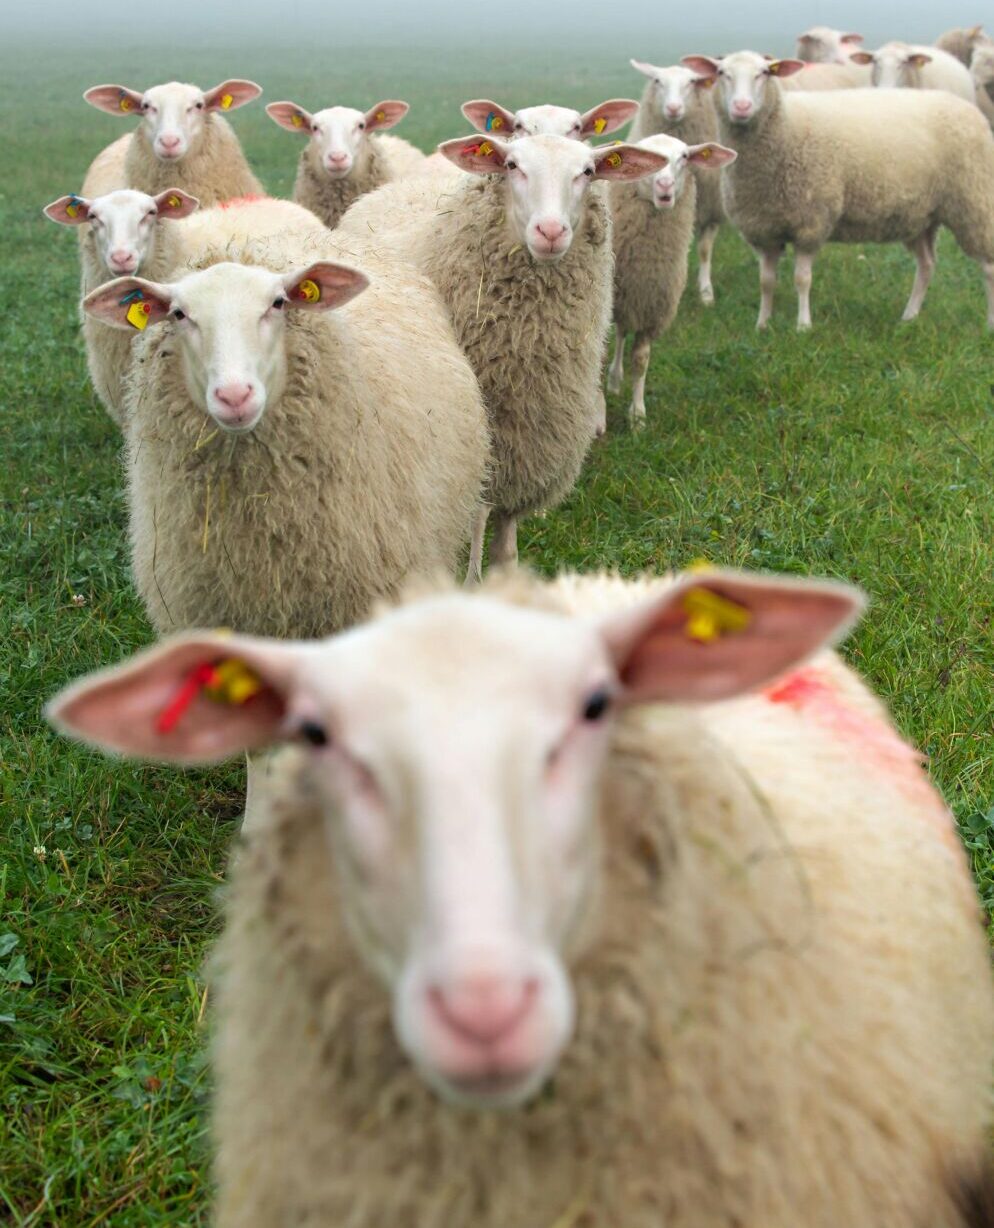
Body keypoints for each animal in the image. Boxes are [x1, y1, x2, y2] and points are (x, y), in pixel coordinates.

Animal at [338, 135, 666, 572]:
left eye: (588, 171)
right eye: (512, 165)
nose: (550, 231)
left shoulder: (530, 439)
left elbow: (506, 536)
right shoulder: (485, 438)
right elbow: (478, 516)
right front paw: (474, 575)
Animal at [608, 134, 735, 424]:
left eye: (684, 157)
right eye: (650, 158)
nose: (664, 185)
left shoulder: (651, 306)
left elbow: (641, 359)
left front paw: (637, 414)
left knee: (621, 332)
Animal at [629, 61, 734, 304]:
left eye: (691, 83)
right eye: (658, 81)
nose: (674, 108)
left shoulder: (711, 211)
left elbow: (704, 250)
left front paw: (706, 293)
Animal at [683, 51, 994, 331]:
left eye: (764, 73)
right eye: (722, 73)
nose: (742, 107)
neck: (785, 128)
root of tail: (969, 108)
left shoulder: (810, 223)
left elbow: (802, 279)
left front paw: (803, 326)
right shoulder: (765, 230)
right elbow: (766, 281)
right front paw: (762, 325)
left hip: (974, 202)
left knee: (988, 266)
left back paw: (989, 325)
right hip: (920, 216)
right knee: (927, 265)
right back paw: (909, 317)